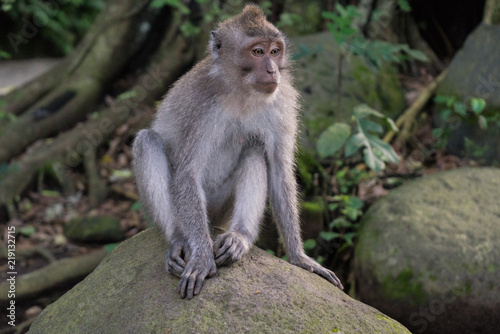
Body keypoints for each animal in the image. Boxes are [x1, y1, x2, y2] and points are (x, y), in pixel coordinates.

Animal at [132, 3, 344, 298]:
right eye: (257, 52)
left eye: (275, 51)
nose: (272, 71)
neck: (242, 91)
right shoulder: (202, 105)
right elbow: (187, 173)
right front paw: (201, 257)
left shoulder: (282, 102)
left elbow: (279, 170)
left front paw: (301, 258)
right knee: (147, 141)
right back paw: (178, 239)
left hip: (221, 209)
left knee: (255, 146)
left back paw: (239, 237)